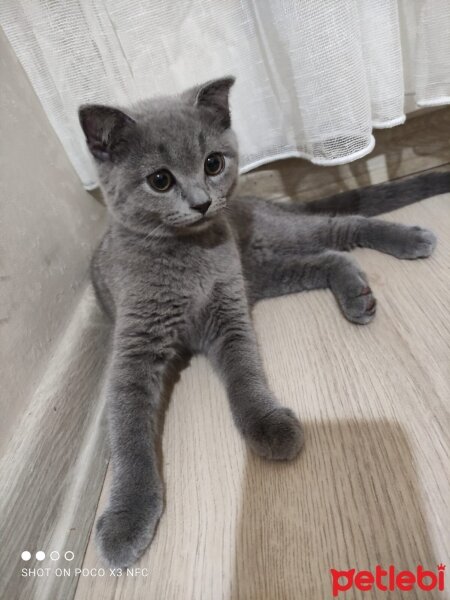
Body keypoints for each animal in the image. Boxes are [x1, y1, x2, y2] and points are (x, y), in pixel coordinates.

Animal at [79, 76, 444, 568]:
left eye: (213, 163)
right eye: (160, 180)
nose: (202, 202)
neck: (190, 256)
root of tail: (258, 202)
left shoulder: (229, 310)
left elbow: (244, 374)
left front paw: (269, 427)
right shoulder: (136, 344)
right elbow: (128, 431)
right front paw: (127, 518)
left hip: (269, 246)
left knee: (342, 226)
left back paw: (408, 239)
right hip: (265, 271)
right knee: (328, 256)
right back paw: (356, 295)